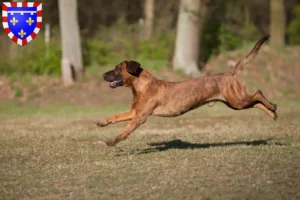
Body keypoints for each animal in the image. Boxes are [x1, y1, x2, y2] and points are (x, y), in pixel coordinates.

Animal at [96, 35, 276, 146]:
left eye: (117, 69)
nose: (102, 74)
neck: (141, 86)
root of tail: (229, 73)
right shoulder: (135, 112)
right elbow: (116, 116)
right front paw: (103, 122)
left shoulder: (140, 117)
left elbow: (126, 129)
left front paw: (113, 140)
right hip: (235, 103)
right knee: (256, 102)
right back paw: (273, 113)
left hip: (237, 100)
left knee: (258, 93)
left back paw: (273, 107)